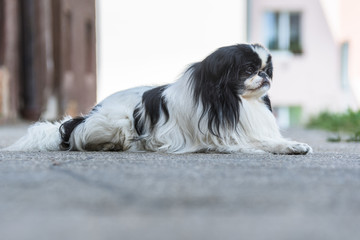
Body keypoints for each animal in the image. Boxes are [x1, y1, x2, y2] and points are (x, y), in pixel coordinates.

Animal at [4, 43, 310, 155]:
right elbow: (262, 143)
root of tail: (86, 115)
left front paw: (294, 144)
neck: (237, 102)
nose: (265, 75)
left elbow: (270, 140)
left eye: (266, 69)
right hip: (116, 122)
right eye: (248, 70)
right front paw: (288, 147)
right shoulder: (224, 139)